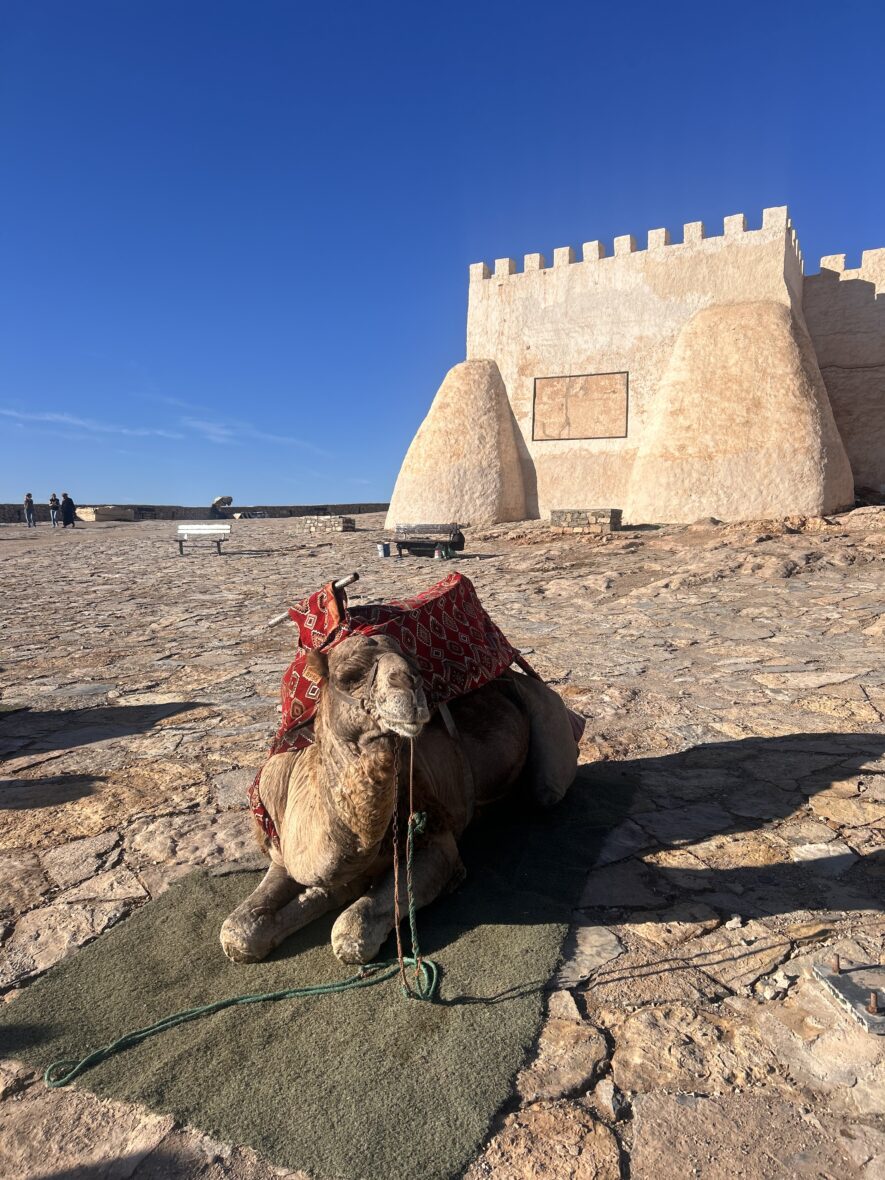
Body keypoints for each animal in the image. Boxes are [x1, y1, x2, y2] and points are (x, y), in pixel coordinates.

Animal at [220, 632, 578, 965]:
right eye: (348, 675)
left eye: (416, 665)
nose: (409, 686)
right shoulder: (283, 849)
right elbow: (237, 931)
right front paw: (322, 895)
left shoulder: (436, 843)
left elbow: (351, 931)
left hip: (546, 720)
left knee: (545, 790)